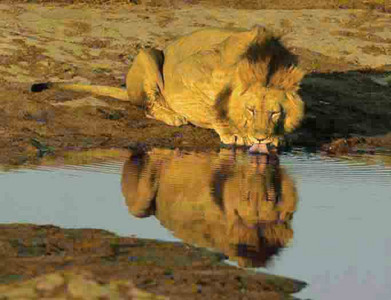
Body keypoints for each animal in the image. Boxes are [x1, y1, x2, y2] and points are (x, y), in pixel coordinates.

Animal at [31, 25, 306, 151]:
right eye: (250, 110)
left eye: (275, 113)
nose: (261, 138)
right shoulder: (191, 70)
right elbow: (213, 107)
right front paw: (233, 132)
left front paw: (279, 137)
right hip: (149, 55)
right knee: (148, 106)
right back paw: (173, 115)